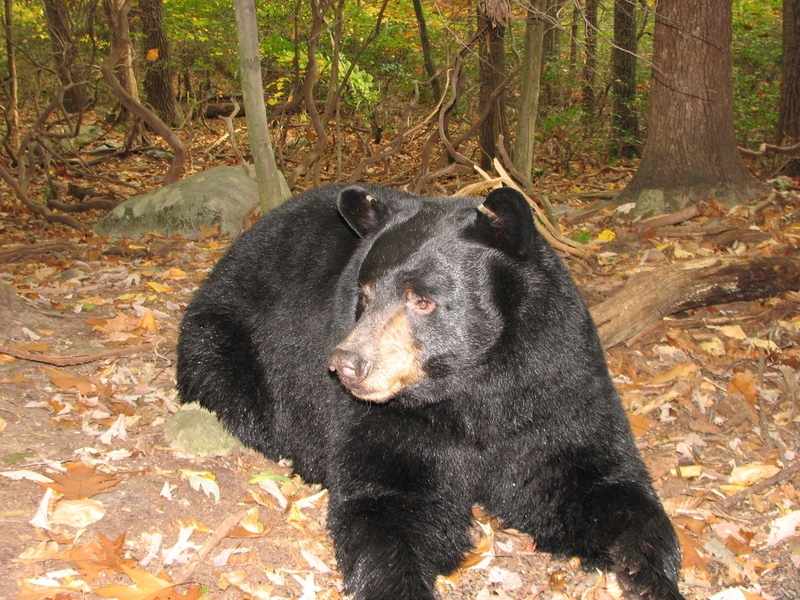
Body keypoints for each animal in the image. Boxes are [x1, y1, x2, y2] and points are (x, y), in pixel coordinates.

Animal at [178, 184, 684, 600]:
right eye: (364, 294)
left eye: (422, 301)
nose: (346, 364)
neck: (473, 389)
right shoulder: (388, 417)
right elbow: (390, 498)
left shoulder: (554, 383)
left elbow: (599, 481)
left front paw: (652, 576)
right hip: (224, 334)